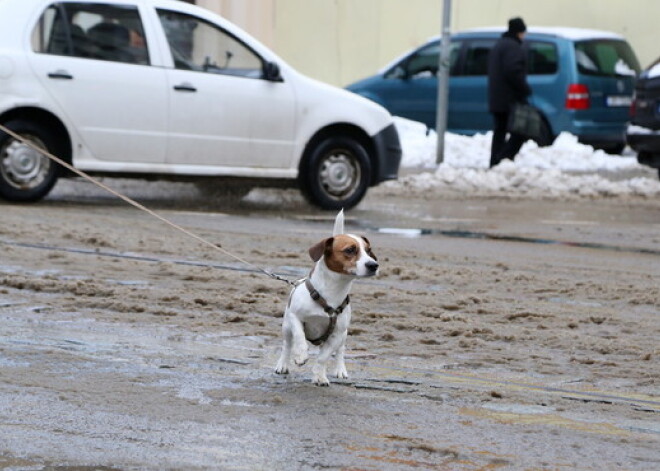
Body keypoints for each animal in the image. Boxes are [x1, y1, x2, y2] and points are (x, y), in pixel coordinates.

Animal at [274, 211, 376, 388]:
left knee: (340, 352)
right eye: (350, 250)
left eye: (369, 251)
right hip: (286, 327)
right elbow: (299, 337)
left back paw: (340, 369)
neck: (331, 293)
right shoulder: (295, 317)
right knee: (287, 345)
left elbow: (323, 358)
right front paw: (300, 355)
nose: (373, 265)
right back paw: (283, 364)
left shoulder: (336, 335)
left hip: (343, 336)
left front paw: (319, 377)